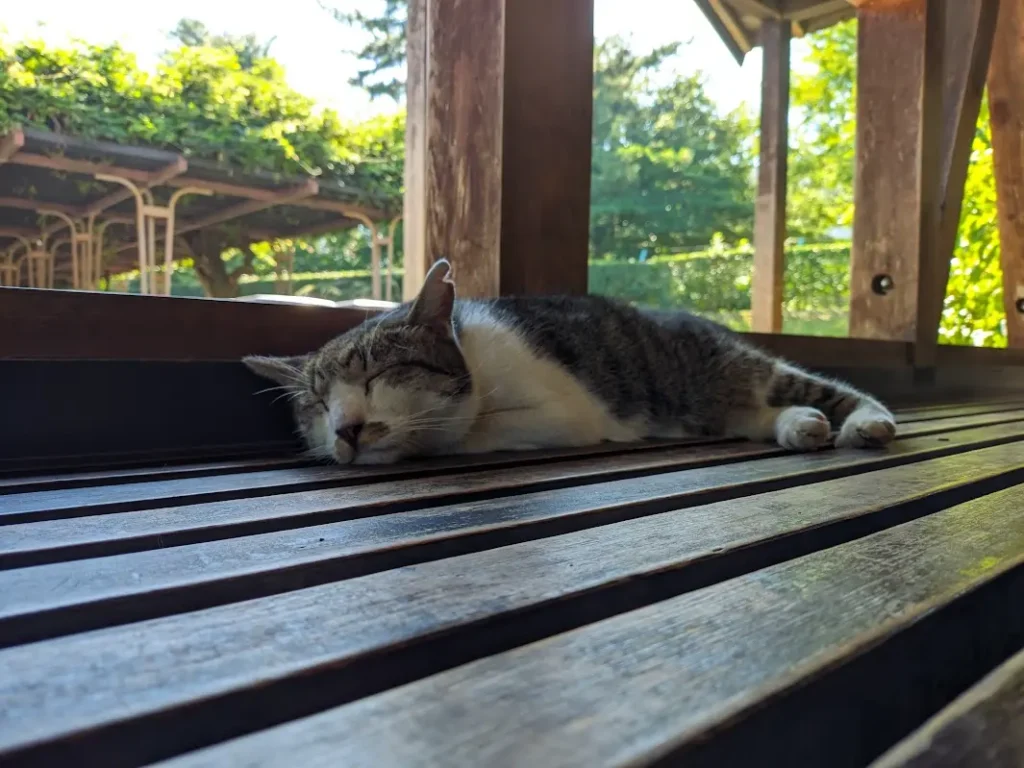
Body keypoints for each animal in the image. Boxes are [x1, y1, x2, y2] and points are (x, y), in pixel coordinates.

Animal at [245, 259, 897, 466]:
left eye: (378, 377)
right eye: (317, 405)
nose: (346, 429)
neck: (479, 368)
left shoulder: (563, 412)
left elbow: (464, 433)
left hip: (737, 366)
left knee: (824, 388)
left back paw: (866, 422)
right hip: (731, 403)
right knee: (763, 415)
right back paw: (799, 426)